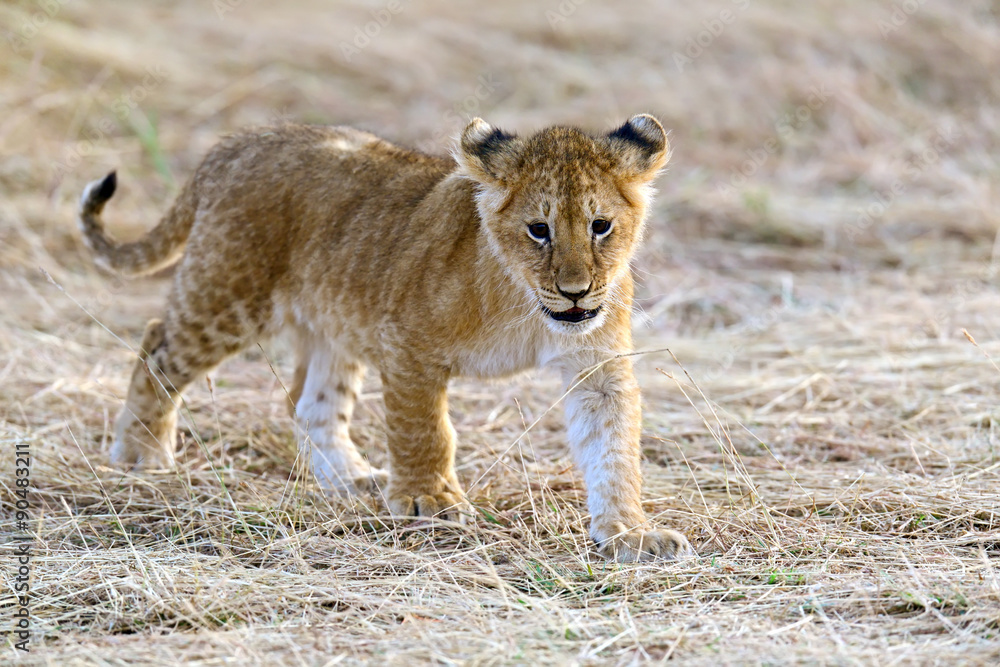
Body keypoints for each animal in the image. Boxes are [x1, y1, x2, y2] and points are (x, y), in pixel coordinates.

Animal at [76, 115, 694, 562]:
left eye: (600, 226)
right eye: (538, 230)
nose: (574, 292)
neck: (526, 304)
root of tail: (236, 142)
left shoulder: (597, 367)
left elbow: (613, 450)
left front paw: (631, 533)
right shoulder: (408, 345)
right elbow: (425, 432)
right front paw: (430, 501)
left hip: (337, 322)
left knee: (309, 405)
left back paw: (354, 480)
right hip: (228, 296)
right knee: (157, 346)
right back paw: (141, 456)